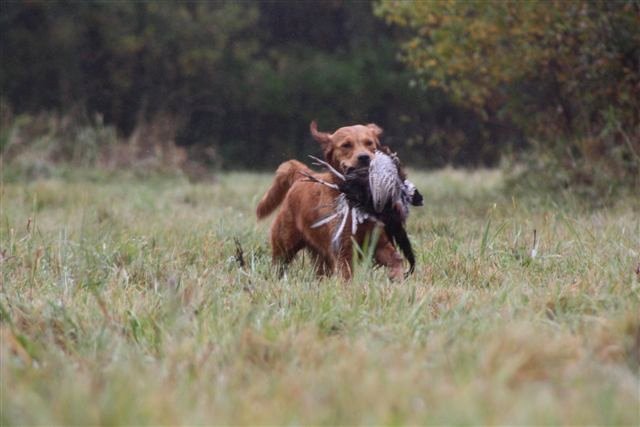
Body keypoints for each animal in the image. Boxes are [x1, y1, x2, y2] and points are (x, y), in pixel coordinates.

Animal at [256, 121, 402, 280]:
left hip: (320, 257)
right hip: (284, 246)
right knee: (278, 266)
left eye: (369, 143)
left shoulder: (379, 243)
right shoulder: (343, 248)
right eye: (346, 145)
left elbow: (397, 260)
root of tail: (301, 177)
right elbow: (347, 275)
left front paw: (397, 277)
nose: (364, 157)